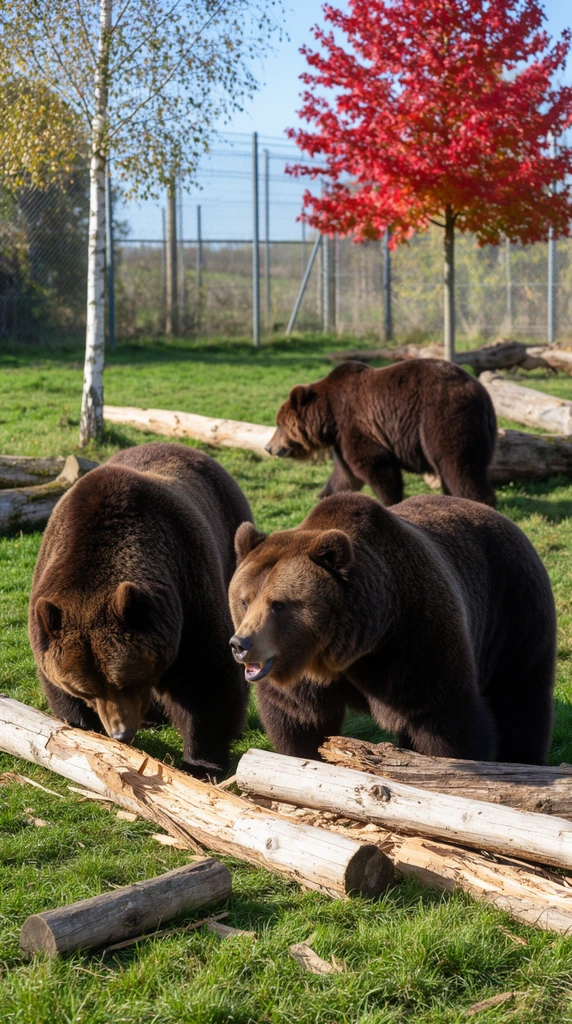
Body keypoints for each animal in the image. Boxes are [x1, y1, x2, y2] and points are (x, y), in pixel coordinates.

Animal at [29, 442, 252, 779]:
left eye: (124, 682)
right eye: (87, 690)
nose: (121, 733)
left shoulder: (187, 586)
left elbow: (205, 677)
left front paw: (201, 763)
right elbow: (59, 691)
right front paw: (82, 732)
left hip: (230, 540)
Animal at [228, 492, 556, 765]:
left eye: (278, 604)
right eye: (244, 601)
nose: (240, 644)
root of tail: (499, 515)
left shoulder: (415, 638)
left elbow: (448, 719)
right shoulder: (306, 679)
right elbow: (298, 721)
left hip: (512, 607)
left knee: (522, 694)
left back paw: (524, 759)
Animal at [265, 359, 497, 507]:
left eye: (278, 424)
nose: (269, 447)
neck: (329, 417)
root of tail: (484, 396)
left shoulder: (356, 425)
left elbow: (377, 467)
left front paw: (391, 503)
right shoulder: (341, 439)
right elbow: (344, 476)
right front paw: (321, 496)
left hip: (445, 420)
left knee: (459, 468)